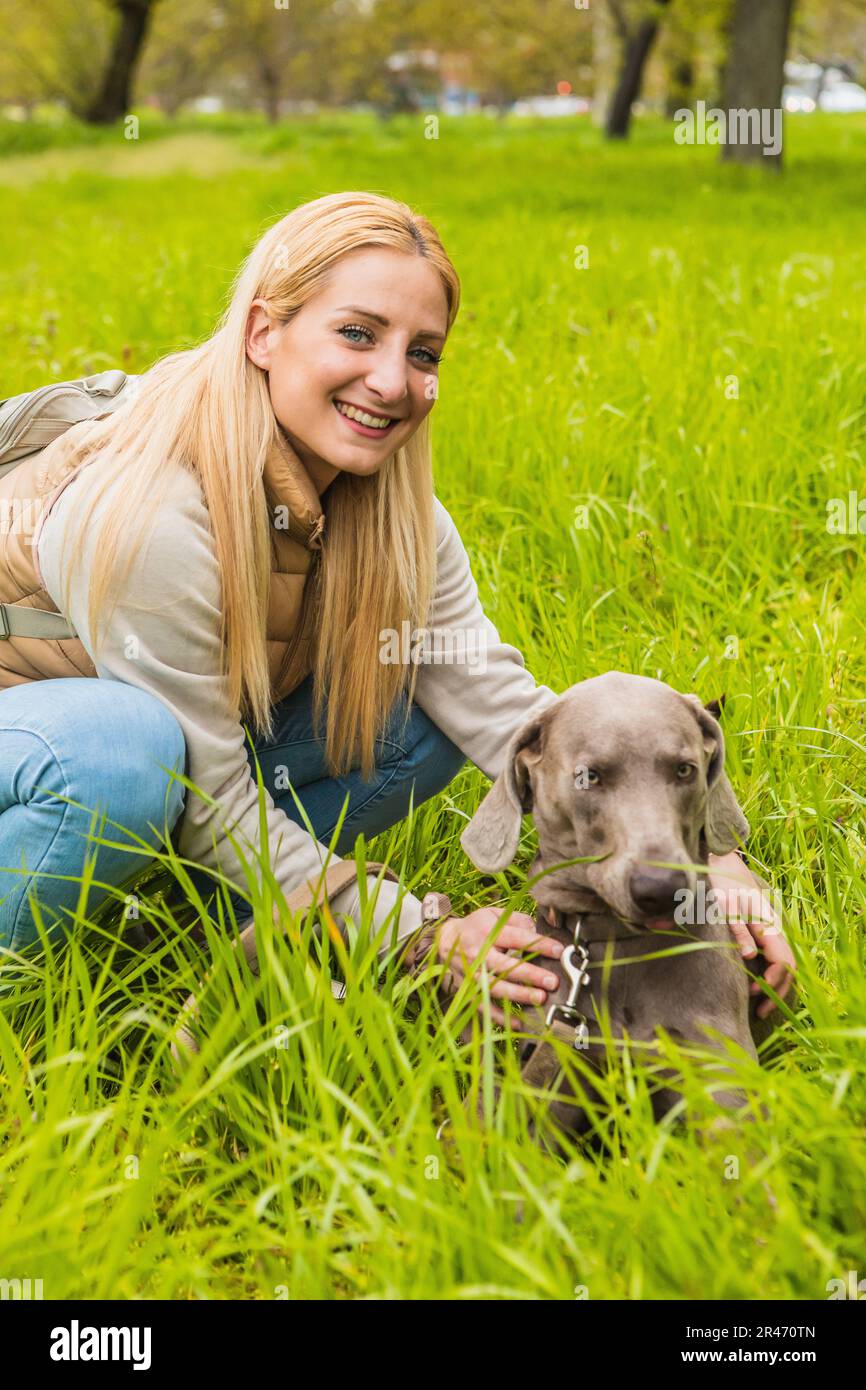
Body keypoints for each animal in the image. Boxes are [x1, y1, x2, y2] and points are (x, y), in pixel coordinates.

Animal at [458, 669, 783, 1139]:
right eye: (588, 777)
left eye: (684, 770)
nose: (662, 888)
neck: (616, 944)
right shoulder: (556, 1068)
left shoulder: (719, 1074)